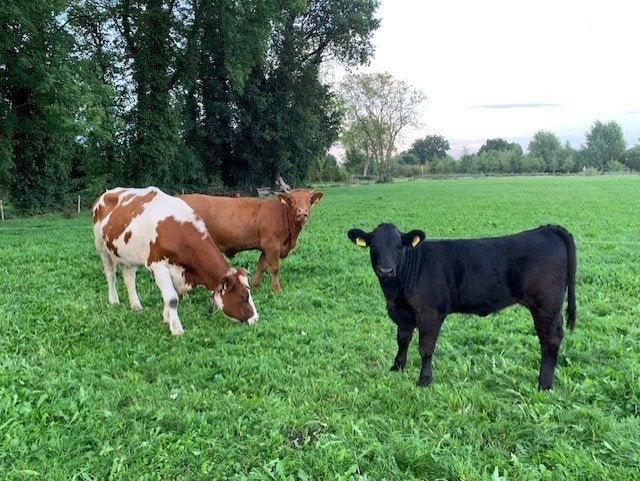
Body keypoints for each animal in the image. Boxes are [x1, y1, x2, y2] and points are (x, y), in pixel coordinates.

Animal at [92, 187, 258, 335]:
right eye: (243, 297)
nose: (256, 319)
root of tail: (106, 193)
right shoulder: (158, 265)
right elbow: (172, 298)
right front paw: (177, 329)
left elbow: (170, 295)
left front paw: (167, 319)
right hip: (101, 248)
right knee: (110, 275)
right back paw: (114, 300)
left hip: (127, 254)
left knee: (129, 279)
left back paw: (136, 305)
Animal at [180, 186, 323, 292]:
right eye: (292, 201)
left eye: (309, 200)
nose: (302, 212)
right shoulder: (273, 245)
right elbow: (274, 268)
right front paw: (277, 290)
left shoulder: (266, 247)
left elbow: (261, 266)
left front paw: (254, 285)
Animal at [347, 223, 576, 390]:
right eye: (374, 247)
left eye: (398, 246)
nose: (386, 270)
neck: (395, 293)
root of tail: (547, 229)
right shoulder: (403, 314)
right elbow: (402, 340)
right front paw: (397, 367)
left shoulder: (430, 313)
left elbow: (425, 348)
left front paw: (424, 380)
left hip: (546, 306)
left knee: (550, 340)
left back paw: (544, 384)